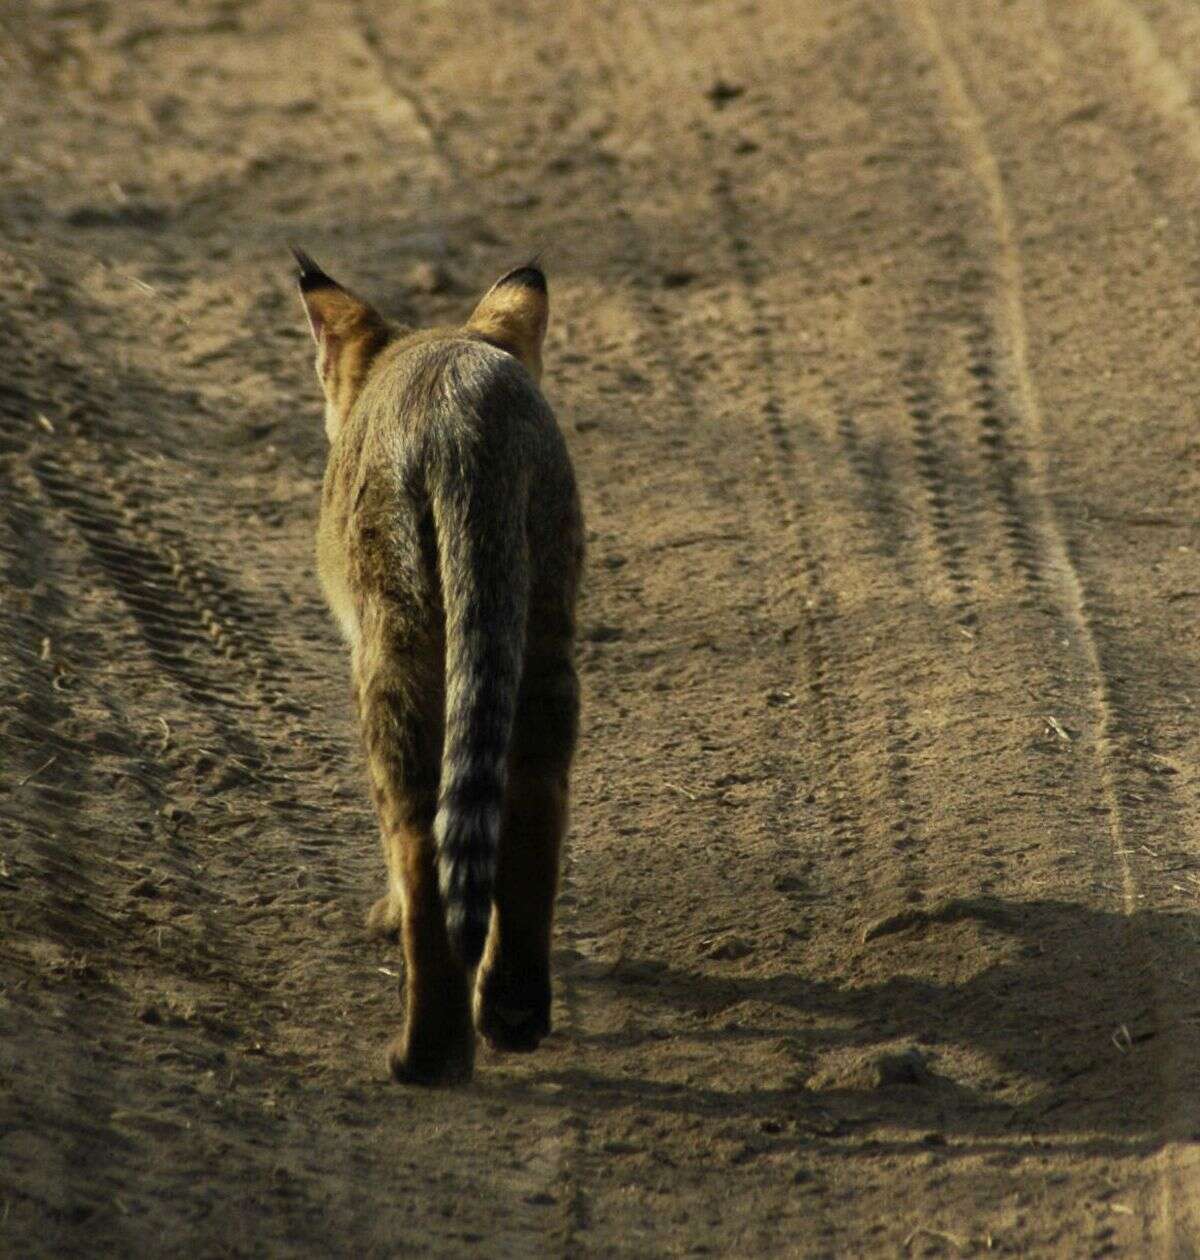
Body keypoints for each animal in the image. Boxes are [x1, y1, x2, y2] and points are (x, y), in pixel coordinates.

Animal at [294, 250, 584, 1088]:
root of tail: (470, 409)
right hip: (542, 628)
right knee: (531, 799)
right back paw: (513, 1012)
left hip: (395, 641)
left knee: (420, 838)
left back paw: (427, 1055)